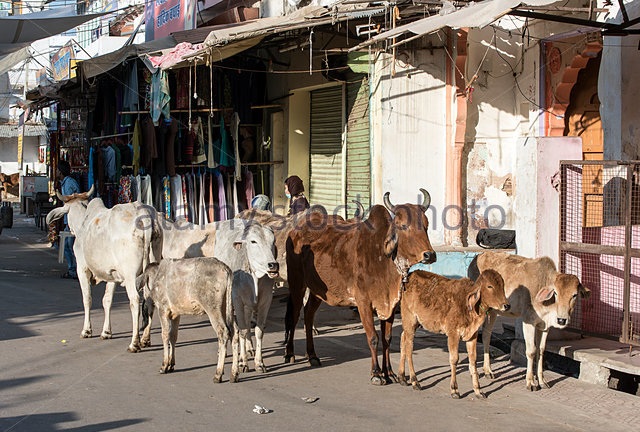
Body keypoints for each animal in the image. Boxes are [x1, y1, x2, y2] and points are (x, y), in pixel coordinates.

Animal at [47, 187, 161, 352]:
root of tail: (144, 216)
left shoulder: (82, 269)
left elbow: (87, 299)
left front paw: (87, 330)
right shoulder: (112, 274)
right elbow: (107, 300)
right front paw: (106, 332)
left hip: (130, 275)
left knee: (135, 301)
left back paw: (134, 343)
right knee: (149, 300)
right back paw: (145, 339)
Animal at [156, 218, 278, 376]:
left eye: (273, 241)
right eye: (253, 241)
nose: (273, 265)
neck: (255, 277)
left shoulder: (266, 301)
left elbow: (259, 331)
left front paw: (259, 363)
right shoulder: (238, 301)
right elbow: (243, 330)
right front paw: (243, 363)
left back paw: (249, 348)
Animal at [286, 189, 440, 384]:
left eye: (426, 225)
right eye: (403, 226)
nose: (429, 255)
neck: (385, 259)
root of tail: (295, 230)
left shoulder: (389, 305)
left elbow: (387, 339)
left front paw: (389, 372)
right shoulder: (363, 303)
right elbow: (373, 337)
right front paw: (376, 374)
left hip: (316, 291)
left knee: (308, 314)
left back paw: (312, 355)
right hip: (297, 283)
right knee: (294, 315)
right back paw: (290, 353)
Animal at [398, 270, 508, 398]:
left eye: (502, 285)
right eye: (490, 286)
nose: (506, 305)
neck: (469, 307)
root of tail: (410, 275)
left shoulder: (472, 336)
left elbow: (473, 361)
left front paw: (478, 390)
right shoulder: (453, 334)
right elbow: (454, 359)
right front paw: (454, 389)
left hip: (413, 324)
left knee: (403, 339)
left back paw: (402, 377)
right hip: (409, 320)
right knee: (409, 348)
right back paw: (415, 381)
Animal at [476, 251, 592, 394]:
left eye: (575, 295)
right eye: (555, 293)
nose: (561, 320)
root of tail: (482, 254)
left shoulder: (544, 327)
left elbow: (541, 351)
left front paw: (542, 381)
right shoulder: (528, 322)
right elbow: (531, 351)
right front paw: (530, 382)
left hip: (493, 312)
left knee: (486, 335)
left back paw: (487, 370)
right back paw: (486, 370)